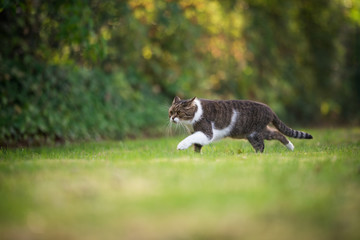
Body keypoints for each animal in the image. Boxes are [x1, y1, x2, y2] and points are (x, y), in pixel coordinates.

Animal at [169, 95, 312, 152]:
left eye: (179, 112)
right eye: (171, 112)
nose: (172, 118)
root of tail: (270, 109)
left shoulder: (207, 132)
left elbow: (191, 138)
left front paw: (181, 145)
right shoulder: (200, 134)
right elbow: (197, 145)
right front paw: (197, 157)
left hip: (255, 133)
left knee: (261, 145)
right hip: (256, 133)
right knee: (277, 133)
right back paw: (291, 147)